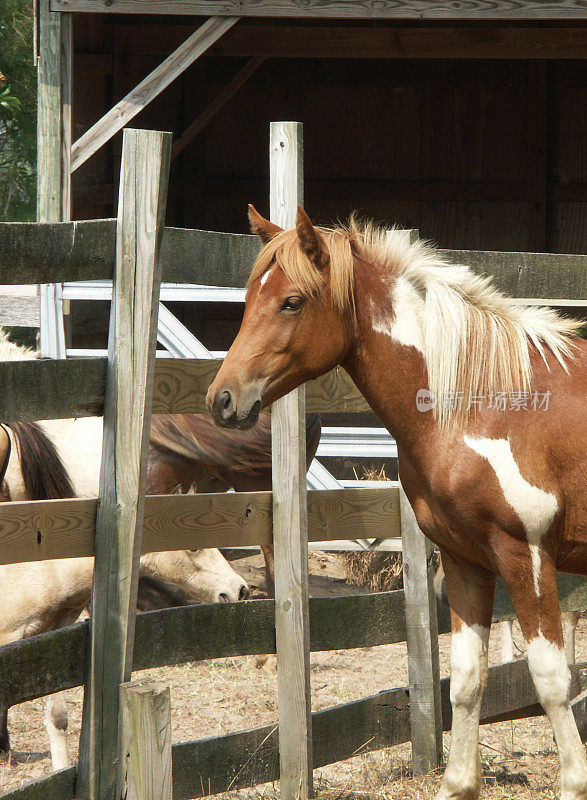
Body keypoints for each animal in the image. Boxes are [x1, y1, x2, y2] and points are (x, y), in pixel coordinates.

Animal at [208, 208, 587, 800]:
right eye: (249, 297)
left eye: (292, 301)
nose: (222, 399)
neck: (484, 402)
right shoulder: (466, 559)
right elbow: (467, 680)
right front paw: (457, 783)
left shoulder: (525, 555)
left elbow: (550, 678)